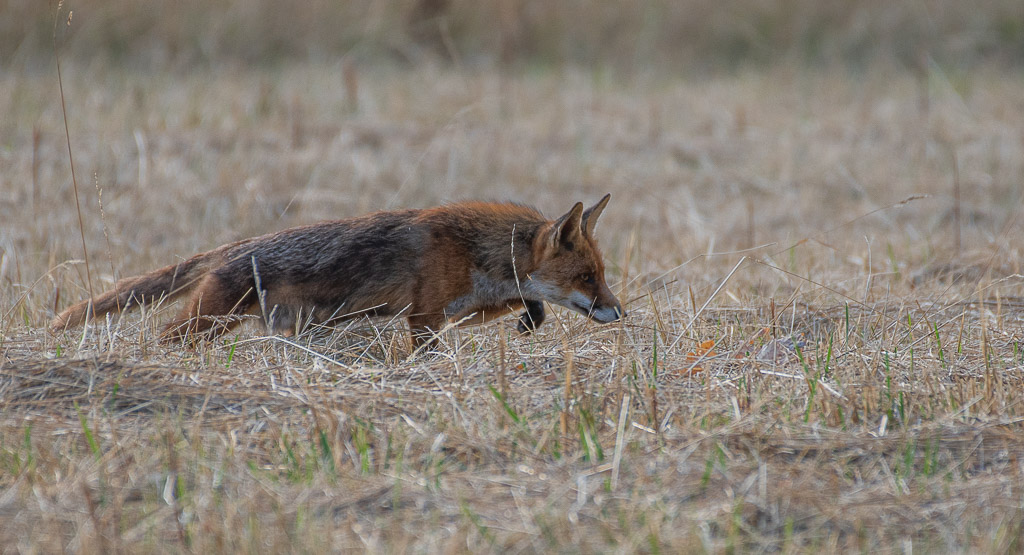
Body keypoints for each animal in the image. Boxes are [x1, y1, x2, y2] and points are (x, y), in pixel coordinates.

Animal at [51, 194, 625, 347]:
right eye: (587, 278)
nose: (619, 312)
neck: (476, 251)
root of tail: (232, 247)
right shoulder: (424, 316)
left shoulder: (458, 308)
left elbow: (527, 300)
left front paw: (531, 318)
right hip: (208, 321)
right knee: (166, 336)